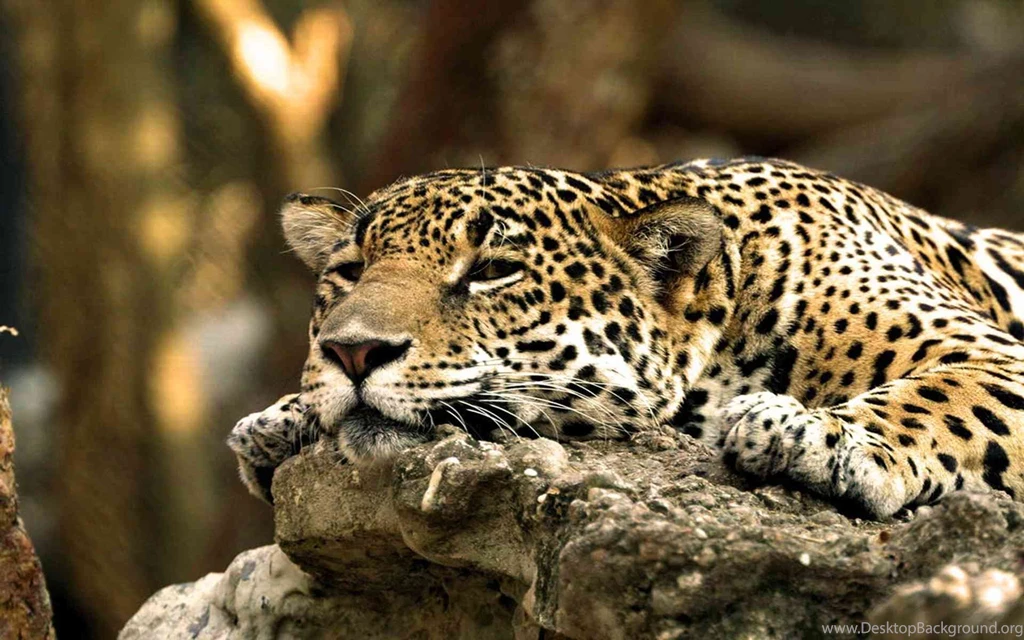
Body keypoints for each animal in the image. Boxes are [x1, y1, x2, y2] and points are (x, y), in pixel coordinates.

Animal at [228, 157, 1024, 519]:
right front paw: (280, 420)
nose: (352, 352)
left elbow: (934, 399)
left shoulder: (990, 354)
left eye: (491, 271)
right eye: (349, 272)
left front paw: (814, 436)